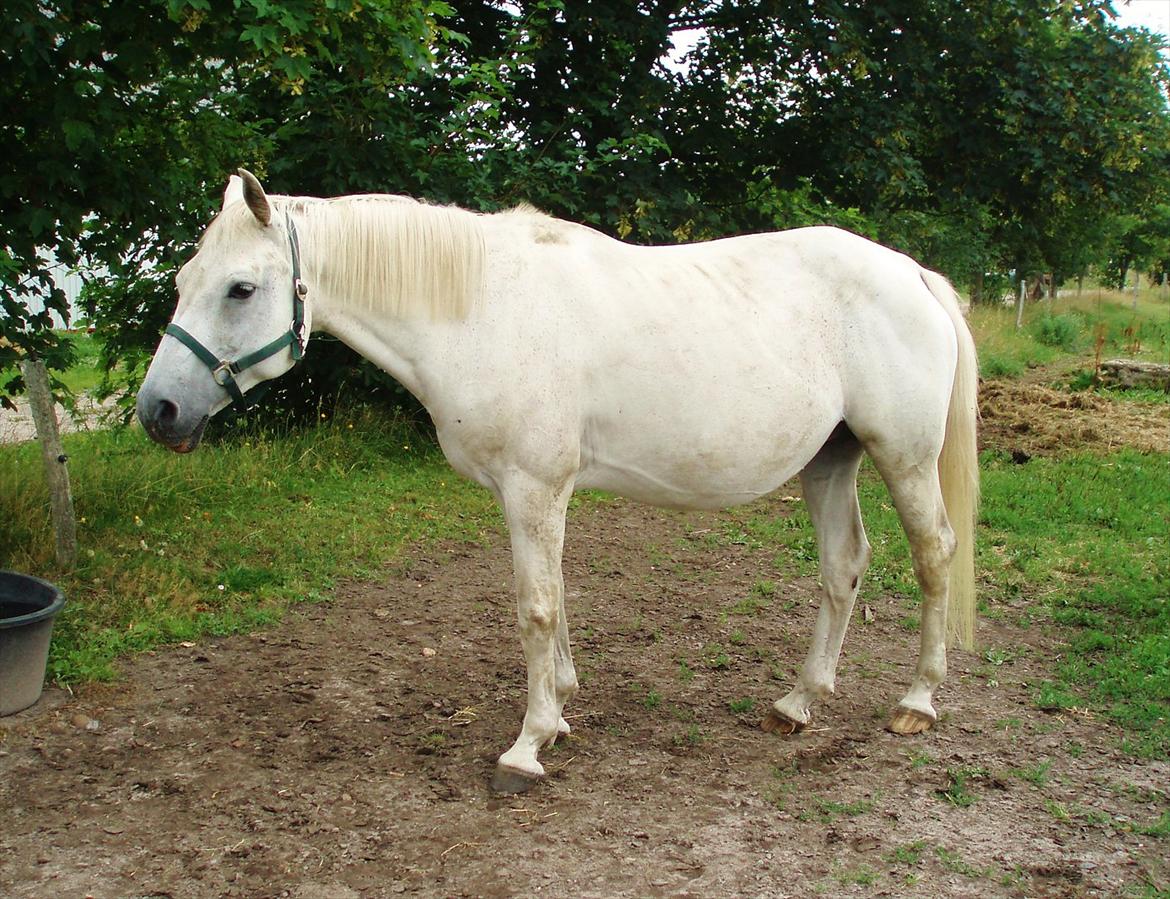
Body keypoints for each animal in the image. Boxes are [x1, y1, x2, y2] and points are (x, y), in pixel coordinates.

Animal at [134, 168, 978, 795]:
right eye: (184, 278)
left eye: (241, 288)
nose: (158, 410)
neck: (480, 307)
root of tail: (914, 274)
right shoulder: (544, 495)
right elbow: (559, 600)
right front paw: (562, 715)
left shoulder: (532, 487)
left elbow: (535, 608)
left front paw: (526, 747)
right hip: (831, 460)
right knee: (844, 565)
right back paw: (798, 703)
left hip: (902, 456)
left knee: (934, 555)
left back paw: (917, 700)